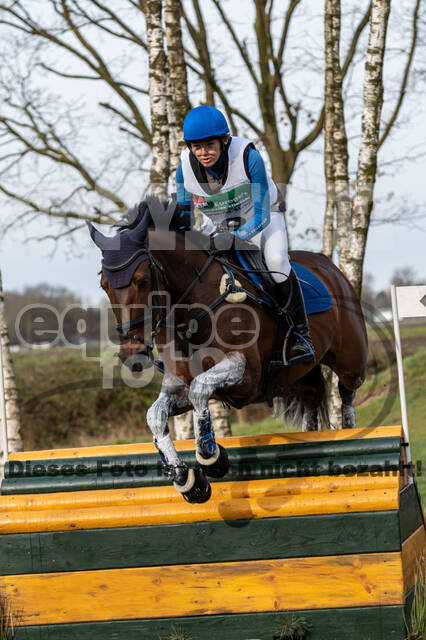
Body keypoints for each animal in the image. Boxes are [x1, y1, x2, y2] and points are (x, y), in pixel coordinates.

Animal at [88, 196, 368, 504]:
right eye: (104, 285)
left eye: (142, 281)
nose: (132, 355)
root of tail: (330, 267)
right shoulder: (178, 384)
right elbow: (156, 415)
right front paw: (186, 480)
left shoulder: (246, 375)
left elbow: (200, 389)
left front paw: (211, 457)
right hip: (293, 378)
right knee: (310, 402)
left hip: (350, 360)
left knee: (346, 393)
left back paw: (351, 430)